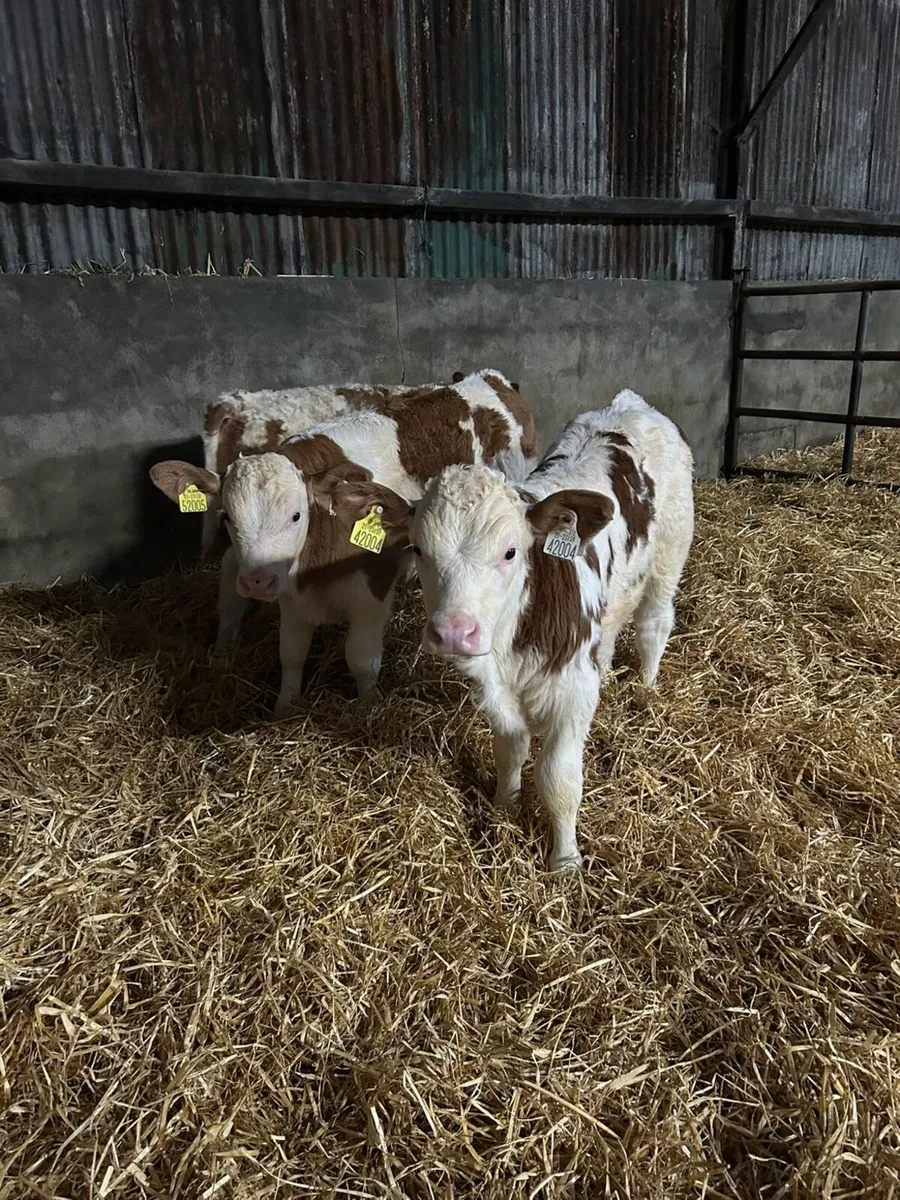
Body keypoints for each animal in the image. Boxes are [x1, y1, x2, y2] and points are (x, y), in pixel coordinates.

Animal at [150, 370, 538, 714]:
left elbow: (361, 658)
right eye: (228, 516)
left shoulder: (373, 585)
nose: (259, 581)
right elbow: (291, 653)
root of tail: (486, 378)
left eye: (296, 515)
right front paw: (283, 707)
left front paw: (368, 708)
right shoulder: (290, 589)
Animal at [338, 390, 694, 870]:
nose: (454, 633)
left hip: (669, 555)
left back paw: (648, 688)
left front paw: (565, 861)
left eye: (510, 552)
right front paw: (503, 808)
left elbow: (559, 779)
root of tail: (629, 404)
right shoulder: (496, 687)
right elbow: (511, 749)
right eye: (417, 548)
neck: (515, 643)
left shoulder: (572, 692)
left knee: (654, 624)